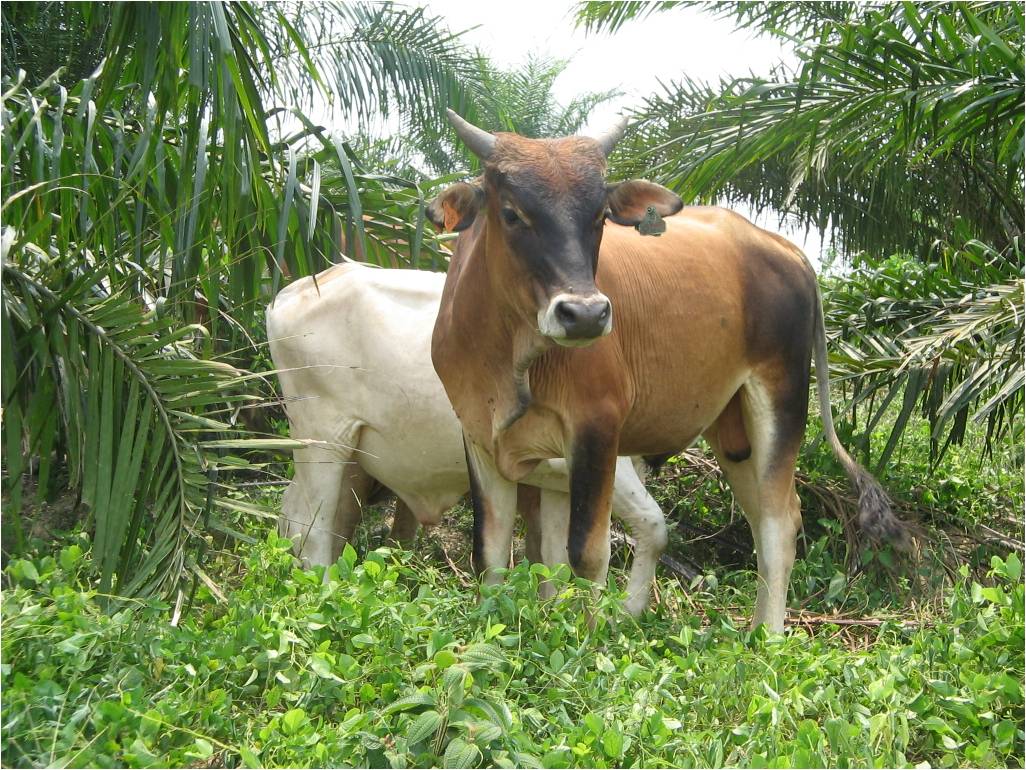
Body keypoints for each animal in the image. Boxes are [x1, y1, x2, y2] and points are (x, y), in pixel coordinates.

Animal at [264, 262, 668, 620]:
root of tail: (292, 292)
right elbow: (650, 526)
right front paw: (621, 617)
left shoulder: (558, 478)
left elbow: (555, 557)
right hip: (323, 440)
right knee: (310, 529)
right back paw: (324, 598)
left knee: (301, 518)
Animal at [428, 112, 911, 632]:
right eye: (512, 213)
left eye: (599, 217)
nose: (585, 315)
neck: (510, 359)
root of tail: (785, 249)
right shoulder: (480, 437)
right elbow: (494, 555)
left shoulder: (597, 428)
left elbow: (586, 554)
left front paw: (589, 638)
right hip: (733, 432)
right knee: (768, 518)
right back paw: (753, 629)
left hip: (781, 399)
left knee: (779, 525)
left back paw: (770, 636)